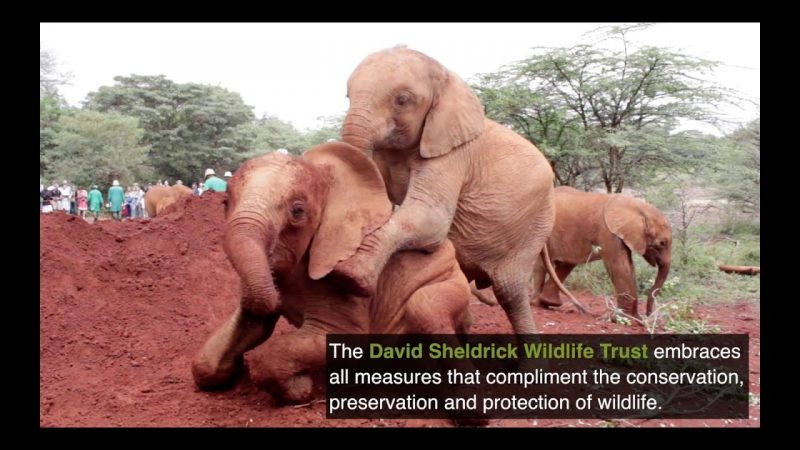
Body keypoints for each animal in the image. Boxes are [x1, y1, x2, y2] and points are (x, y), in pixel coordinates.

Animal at [191, 142, 472, 402]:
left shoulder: (339, 282)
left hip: (450, 281)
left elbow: (346, 338)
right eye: (225, 202)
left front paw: (300, 388)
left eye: (297, 211)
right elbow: (219, 353)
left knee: (425, 308)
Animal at [334, 46, 580, 334]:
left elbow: (430, 217)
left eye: (403, 100)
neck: (448, 80)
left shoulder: (453, 154)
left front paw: (349, 277)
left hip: (536, 224)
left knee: (510, 292)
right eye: (348, 95)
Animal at [532, 185, 676, 316]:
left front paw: (632, 318)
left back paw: (548, 303)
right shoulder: (607, 231)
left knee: (565, 265)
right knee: (542, 264)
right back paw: (536, 303)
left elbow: (628, 266)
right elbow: (620, 266)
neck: (639, 207)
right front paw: (629, 319)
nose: (648, 314)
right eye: (662, 243)